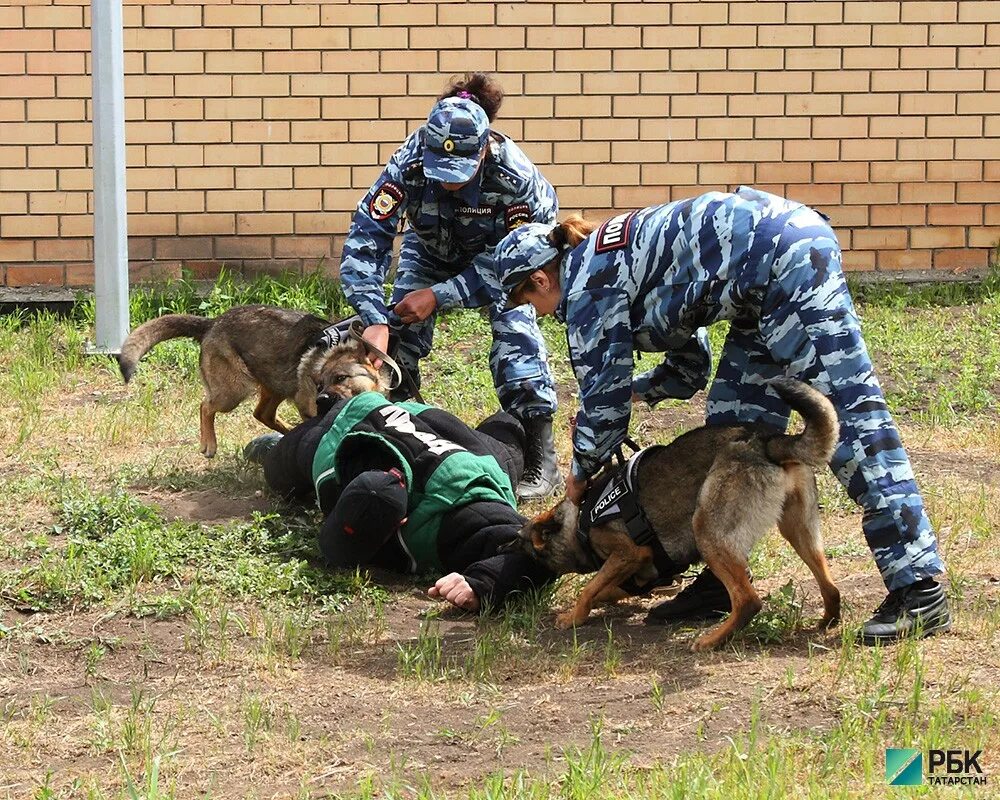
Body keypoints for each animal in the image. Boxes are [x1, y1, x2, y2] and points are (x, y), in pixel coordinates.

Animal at [115, 304, 384, 456]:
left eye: (341, 378)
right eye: (319, 383)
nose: (323, 399)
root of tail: (212, 323)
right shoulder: (307, 404)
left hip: (274, 385)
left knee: (262, 414)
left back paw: (287, 432)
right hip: (234, 391)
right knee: (205, 406)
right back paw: (209, 444)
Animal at [512, 376, 840, 648]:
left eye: (523, 546)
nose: (509, 541)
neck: (580, 519)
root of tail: (767, 442)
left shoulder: (628, 553)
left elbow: (589, 588)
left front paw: (573, 617)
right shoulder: (637, 574)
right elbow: (608, 589)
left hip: (707, 530)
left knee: (748, 601)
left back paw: (712, 640)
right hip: (799, 531)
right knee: (830, 586)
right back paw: (827, 621)